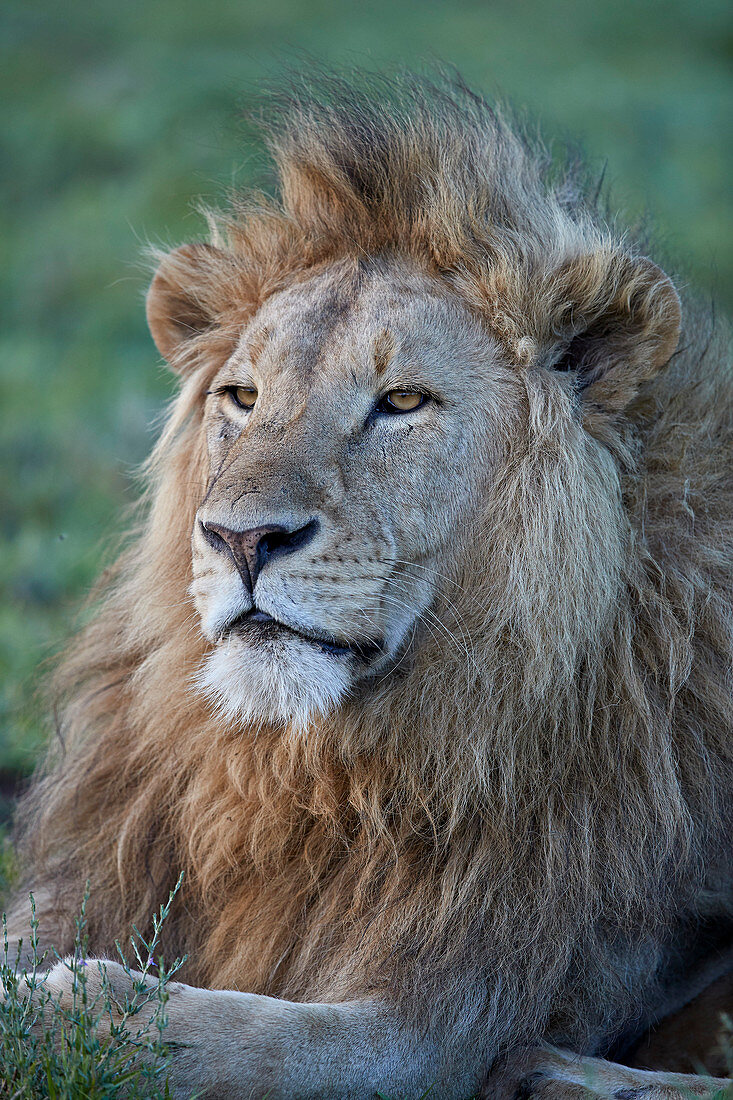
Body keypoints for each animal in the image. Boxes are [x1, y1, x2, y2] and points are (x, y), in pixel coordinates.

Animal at [5, 73, 730, 1095]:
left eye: (401, 403)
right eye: (243, 398)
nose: (242, 538)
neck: (306, 774)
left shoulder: (439, 1023)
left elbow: (229, 1038)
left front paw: (62, 1009)